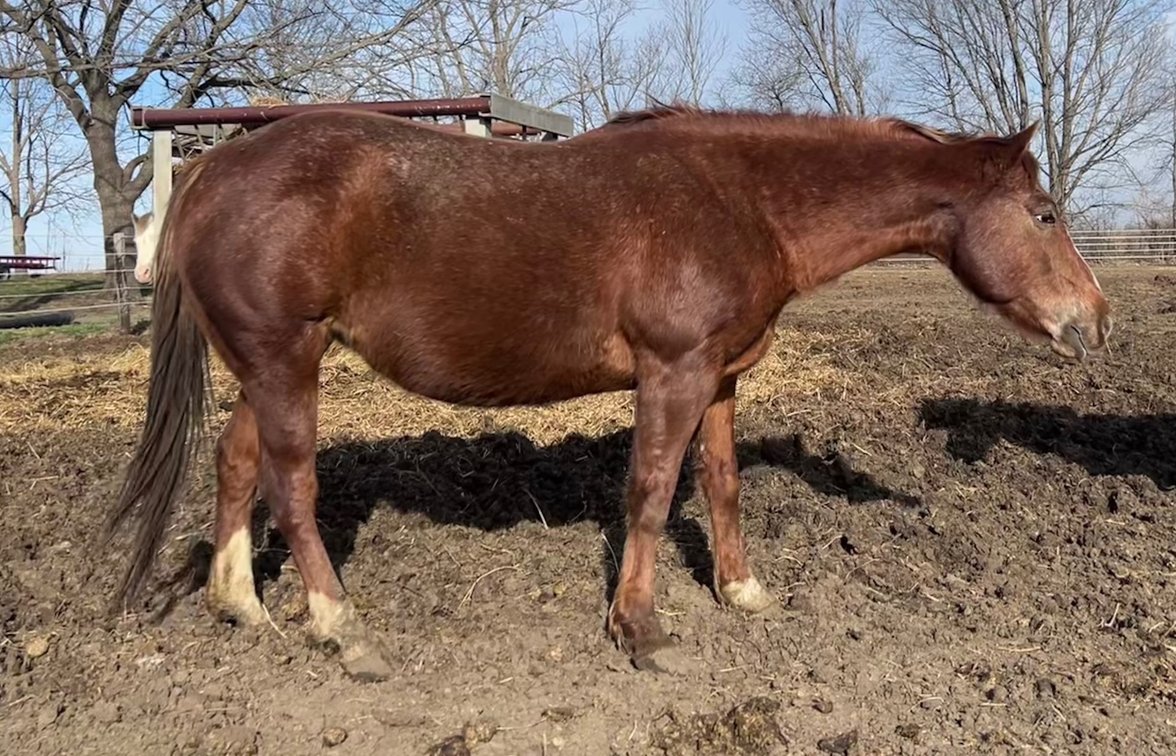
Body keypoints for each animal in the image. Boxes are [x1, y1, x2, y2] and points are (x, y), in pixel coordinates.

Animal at [102, 104, 1112, 681]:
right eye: (1044, 213)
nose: (1095, 322)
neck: (738, 199)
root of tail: (211, 168)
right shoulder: (672, 371)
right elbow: (652, 495)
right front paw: (641, 628)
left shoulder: (720, 377)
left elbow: (720, 487)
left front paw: (743, 592)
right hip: (286, 360)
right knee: (294, 485)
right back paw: (340, 628)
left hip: (268, 364)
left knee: (238, 465)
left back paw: (240, 604)